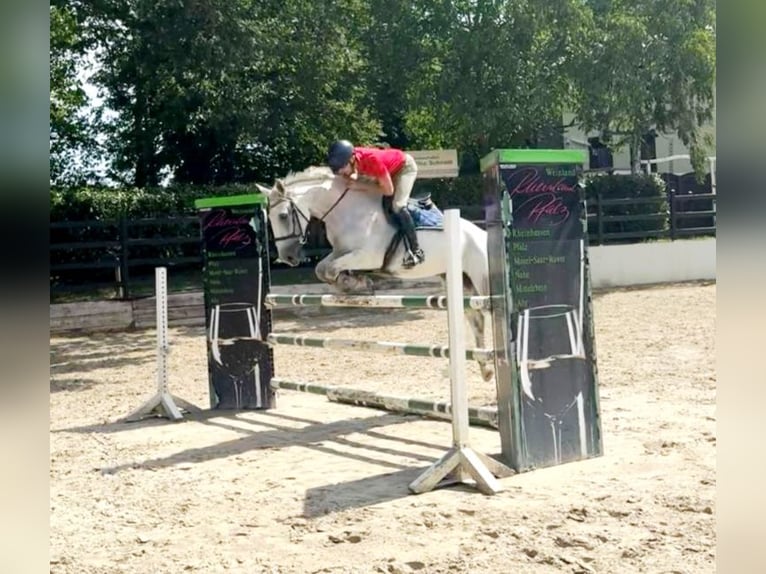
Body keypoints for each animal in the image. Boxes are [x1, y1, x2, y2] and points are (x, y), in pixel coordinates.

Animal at [255, 166, 494, 381]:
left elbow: (331, 269)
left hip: (481, 280)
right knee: (477, 320)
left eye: (283, 216)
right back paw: (485, 369)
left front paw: (359, 283)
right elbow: (322, 269)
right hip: (459, 282)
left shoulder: (369, 256)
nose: (287, 257)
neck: (348, 212)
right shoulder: (340, 252)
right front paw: (353, 281)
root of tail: (482, 234)